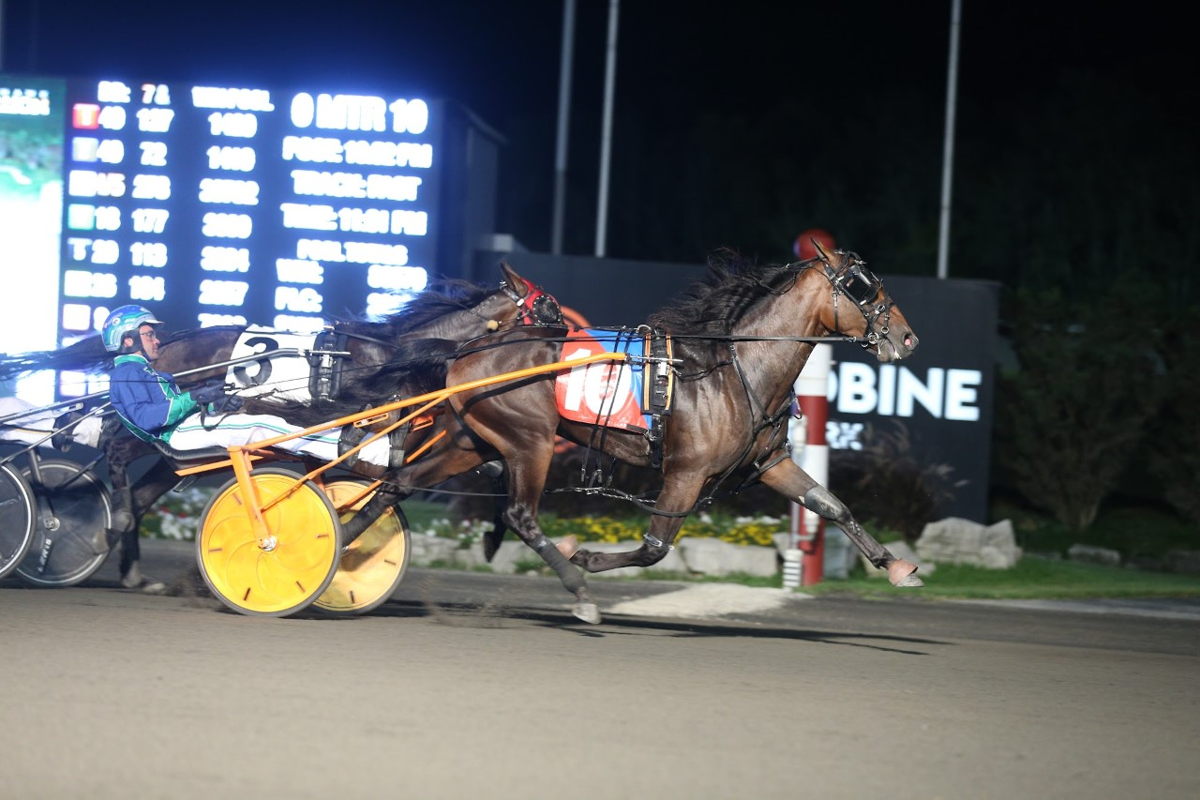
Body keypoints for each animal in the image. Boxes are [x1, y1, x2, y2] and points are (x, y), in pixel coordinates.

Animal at [446, 247, 921, 623]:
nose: (907, 338)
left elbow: (831, 505)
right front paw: (581, 555)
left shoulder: (770, 463)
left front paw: (895, 565)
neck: (736, 370)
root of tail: (469, 351)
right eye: (862, 286)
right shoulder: (687, 472)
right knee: (519, 512)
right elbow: (655, 547)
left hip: (485, 439)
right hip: (531, 440)